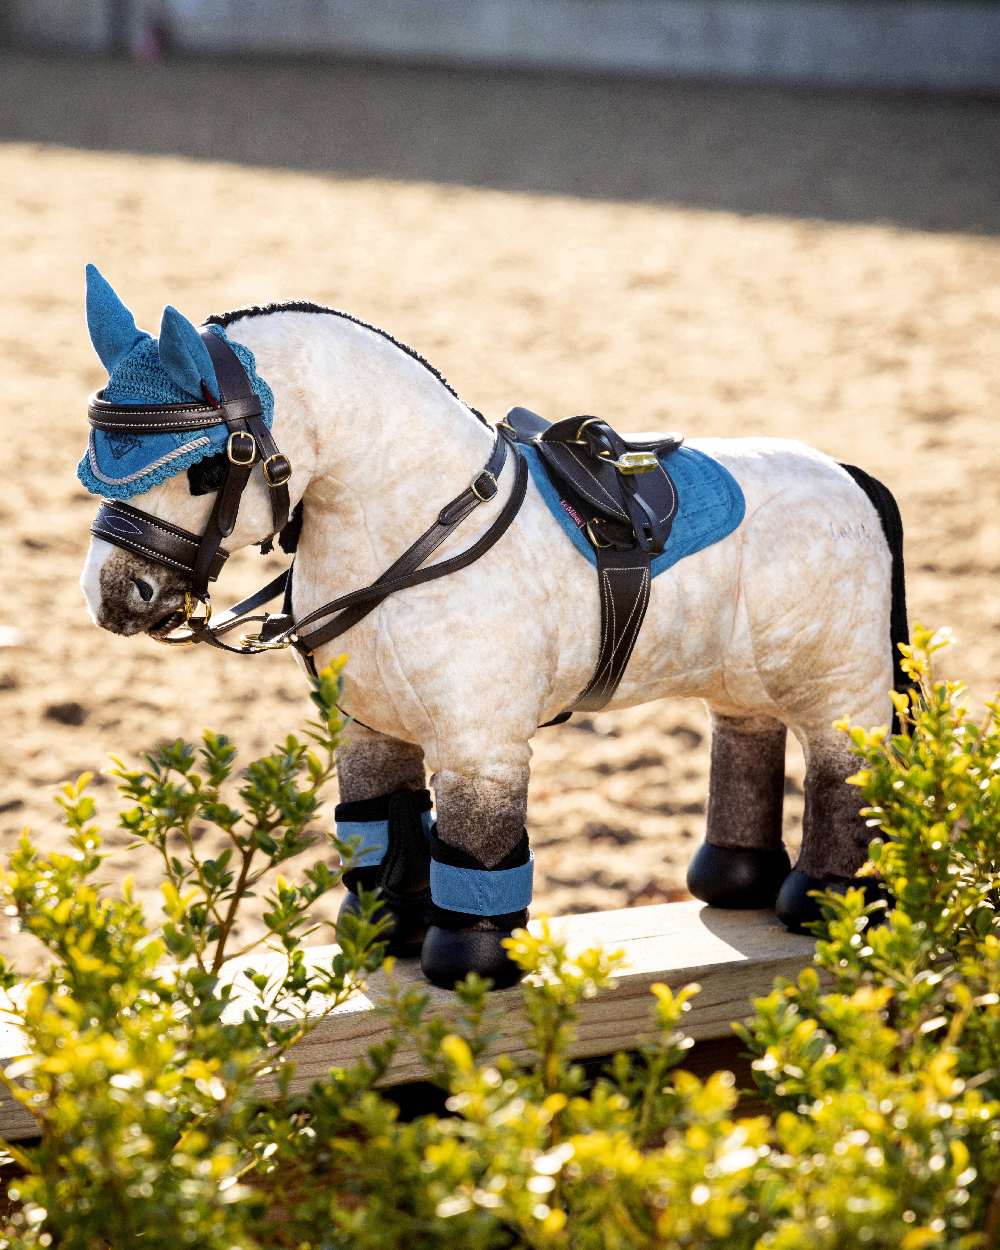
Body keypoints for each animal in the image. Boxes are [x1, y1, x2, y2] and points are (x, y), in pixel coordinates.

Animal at [78, 265, 907, 989]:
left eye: (208, 469)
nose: (114, 596)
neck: (416, 525)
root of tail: (846, 473)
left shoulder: (481, 748)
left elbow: (477, 849)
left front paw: (469, 965)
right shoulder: (370, 730)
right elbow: (384, 826)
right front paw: (385, 934)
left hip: (842, 688)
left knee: (843, 771)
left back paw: (828, 900)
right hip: (745, 677)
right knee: (747, 736)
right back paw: (734, 880)